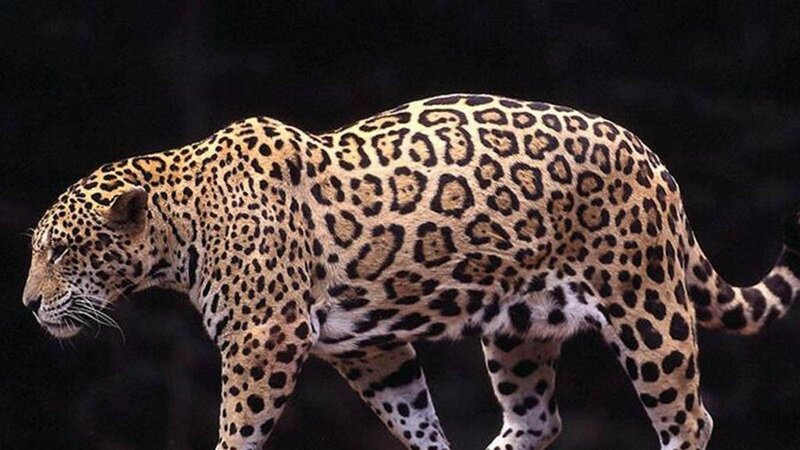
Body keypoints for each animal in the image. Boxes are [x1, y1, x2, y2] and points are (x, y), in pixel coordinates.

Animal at [23, 93, 800, 450]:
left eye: (60, 251)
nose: (28, 305)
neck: (182, 222)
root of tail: (651, 155)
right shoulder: (369, 348)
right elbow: (415, 419)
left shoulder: (263, 340)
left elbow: (238, 428)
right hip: (520, 329)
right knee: (537, 418)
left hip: (646, 305)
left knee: (689, 415)